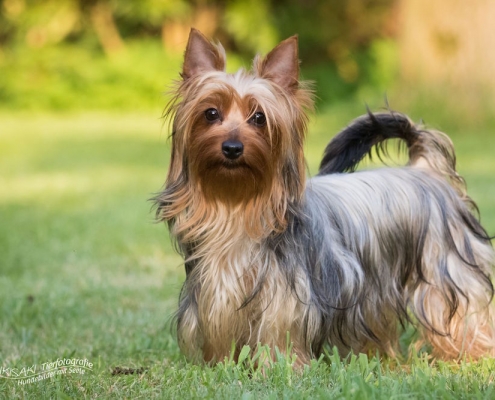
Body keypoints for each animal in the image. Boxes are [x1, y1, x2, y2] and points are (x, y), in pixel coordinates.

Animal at [153, 28, 494, 366]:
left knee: (458, 312)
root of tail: (425, 169)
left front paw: (277, 368)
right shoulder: (216, 297)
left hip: (446, 269)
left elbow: (279, 336)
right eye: (211, 113)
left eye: (259, 118)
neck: (237, 205)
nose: (232, 148)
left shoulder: (287, 299)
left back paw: (470, 354)